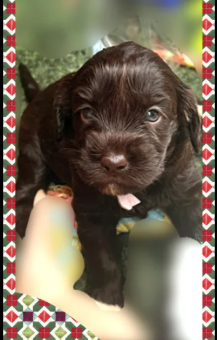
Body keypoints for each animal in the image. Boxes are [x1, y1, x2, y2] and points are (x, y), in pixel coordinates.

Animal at [17, 41, 202, 308]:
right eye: (87, 113)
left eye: (152, 114)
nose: (113, 163)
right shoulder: (92, 213)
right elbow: (103, 258)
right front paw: (105, 301)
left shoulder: (187, 192)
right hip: (32, 151)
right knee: (25, 192)